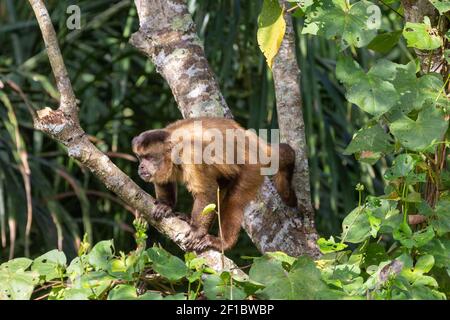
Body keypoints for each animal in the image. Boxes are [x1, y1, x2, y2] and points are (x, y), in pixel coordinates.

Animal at [132, 117, 298, 252]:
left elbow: (206, 192)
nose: (141, 167)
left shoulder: (191, 155)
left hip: (252, 167)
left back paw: (223, 242)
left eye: (149, 157)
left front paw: (197, 231)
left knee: (234, 200)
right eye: (140, 158)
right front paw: (165, 205)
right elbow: (163, 181)